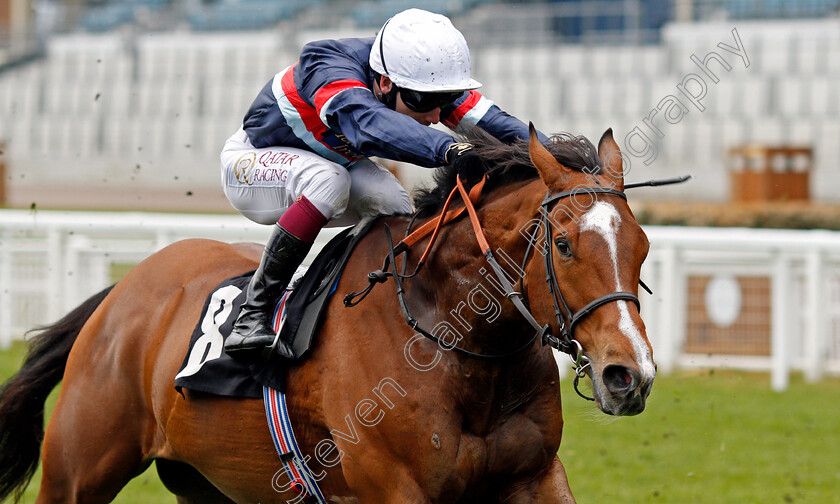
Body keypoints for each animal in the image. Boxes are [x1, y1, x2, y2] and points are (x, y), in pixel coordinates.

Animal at [0, 127, 656, 504]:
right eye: (564, 245)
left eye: (642, 246)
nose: (630, 375)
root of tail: (120, 293)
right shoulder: (396, 488)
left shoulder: (534, 476)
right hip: (76, 473)